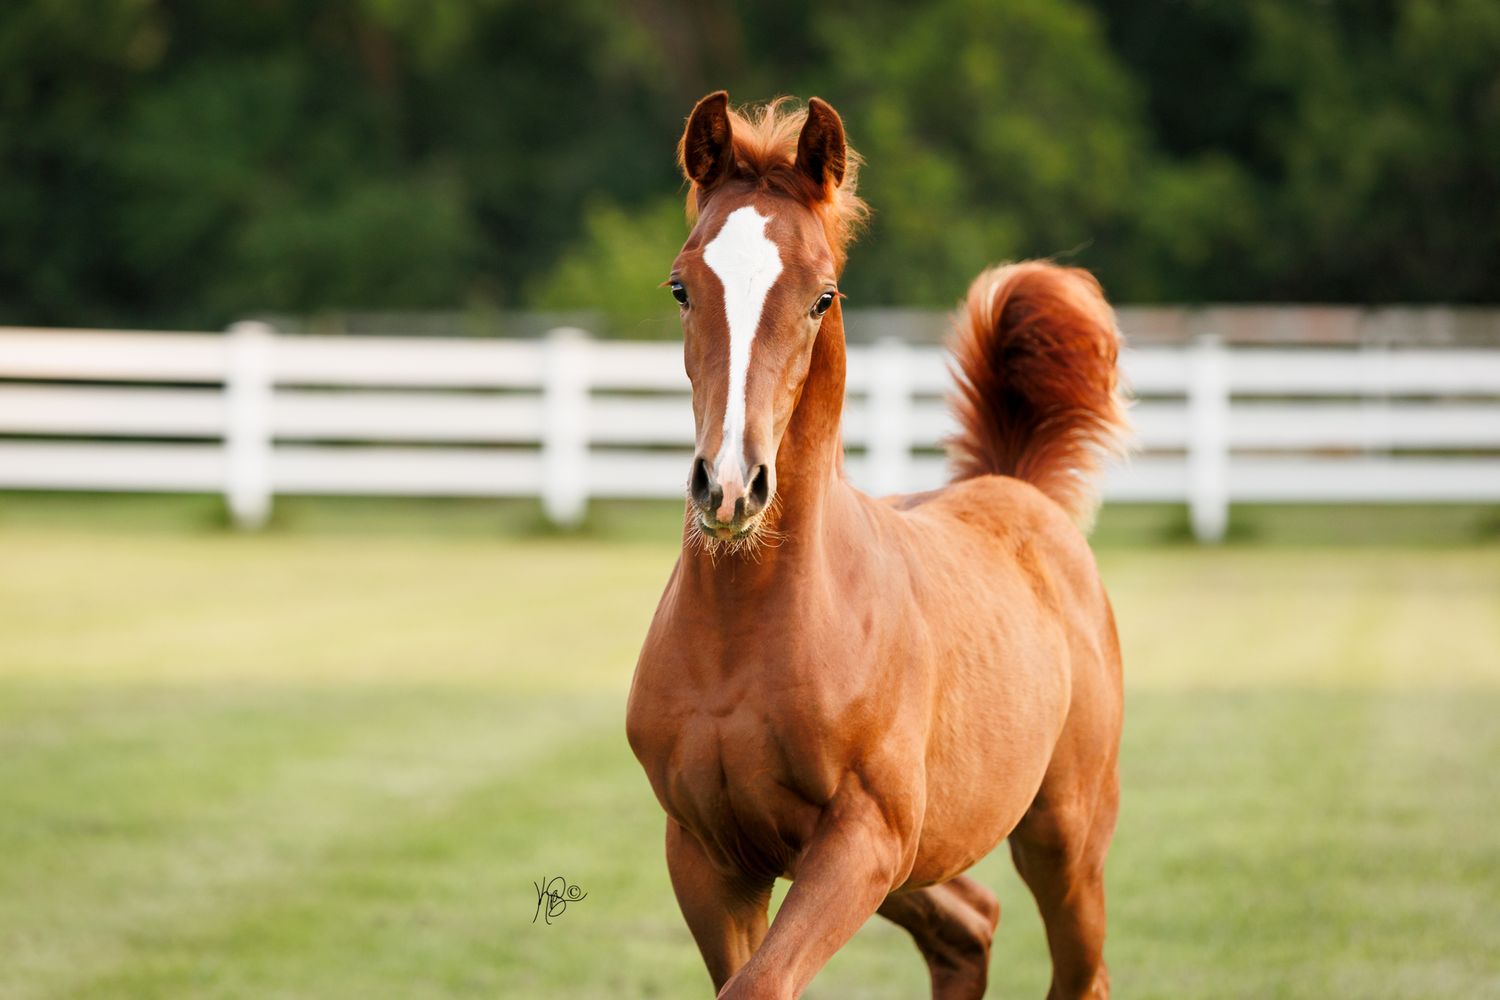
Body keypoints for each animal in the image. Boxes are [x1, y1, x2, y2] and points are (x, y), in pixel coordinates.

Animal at [625, 92, 1129, 1000]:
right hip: (926, 860)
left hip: (1062, 839)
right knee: (970, 926)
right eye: (683, 286)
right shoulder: (708, 853)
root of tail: (1021, 490)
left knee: (1078, 969)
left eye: (822, 296)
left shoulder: (864, 836)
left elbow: (760, 985)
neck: (747, 637)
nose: (730, 485)